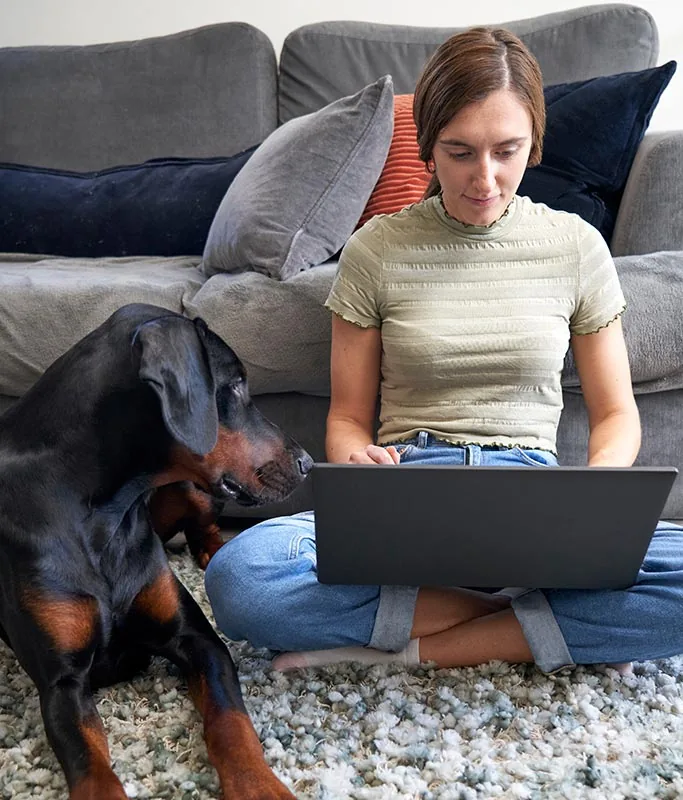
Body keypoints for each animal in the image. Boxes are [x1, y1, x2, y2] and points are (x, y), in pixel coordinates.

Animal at [0, 304, 312, 796]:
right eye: (235, 384)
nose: (307, 463)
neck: (106, 512)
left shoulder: (198, 640)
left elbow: (231, 722)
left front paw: (259, 784)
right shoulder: (62, 682)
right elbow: (91, 766)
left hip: (192, 490)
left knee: (204, 528)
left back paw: (213, 553)